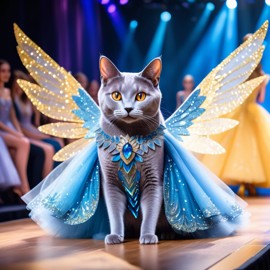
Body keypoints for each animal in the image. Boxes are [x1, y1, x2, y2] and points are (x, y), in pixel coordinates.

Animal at [97, 57, 165, 245]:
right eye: (116, 95)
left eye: (140, 96)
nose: (128, 108)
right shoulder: (110, 182)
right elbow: (114, 210)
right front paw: (115, 236)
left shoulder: (154, 179)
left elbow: (151, 209)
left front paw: (148, 236)